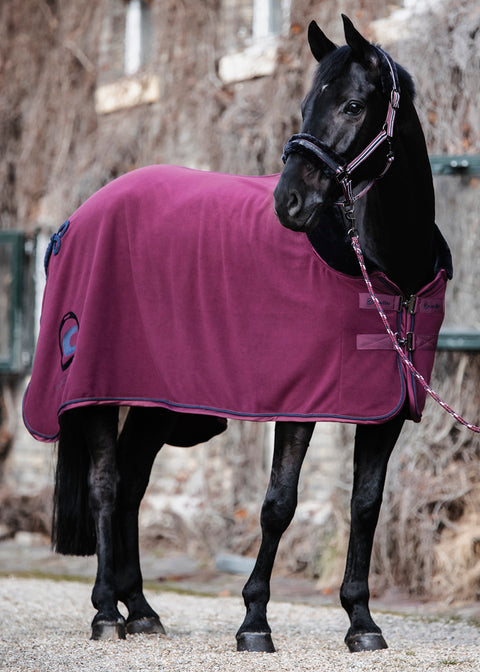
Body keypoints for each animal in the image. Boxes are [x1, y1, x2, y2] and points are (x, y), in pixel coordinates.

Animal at [22, 15, 451, 653]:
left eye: (353, 105)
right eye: (305, 104)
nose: (288, 201)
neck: (388, 269)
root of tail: (75, 219)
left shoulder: (388, 408)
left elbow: (366, 504)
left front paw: (362, 621)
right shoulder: (300, 402)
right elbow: (278, 504)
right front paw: (254, 621)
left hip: (159, 401)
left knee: (131, 484)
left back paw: (141, 609)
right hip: (93, 389)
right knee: (105, 484)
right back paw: (105, 612)